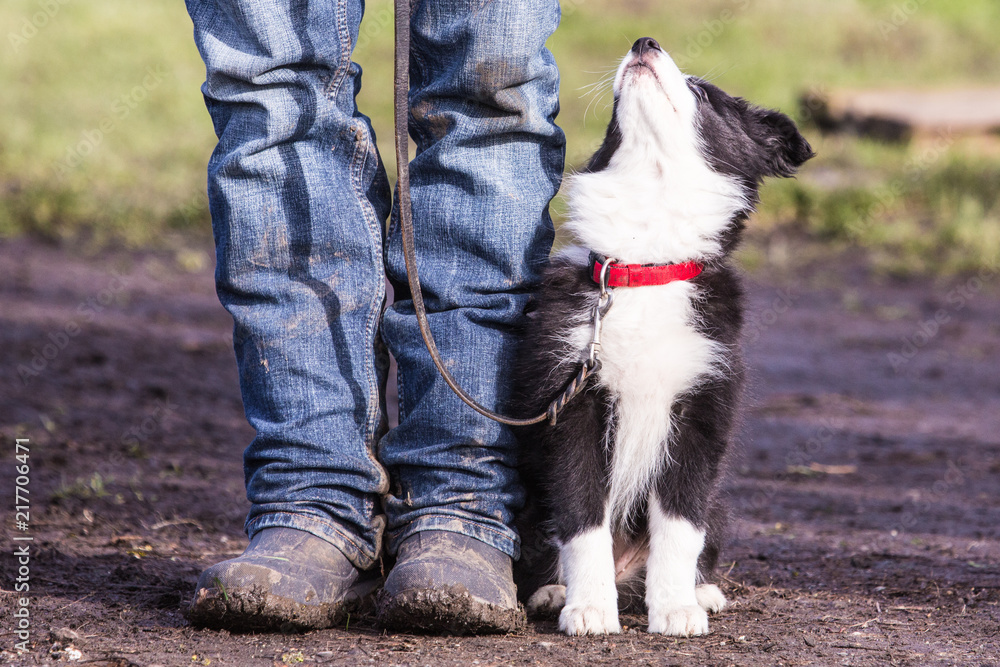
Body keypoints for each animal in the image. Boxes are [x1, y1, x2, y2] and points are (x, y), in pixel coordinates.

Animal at [516, 37, 812, 636]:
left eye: (703, 92)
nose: (644, 42)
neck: (645, 265)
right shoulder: (574, 408)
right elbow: (582, 516)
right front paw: (589, 608)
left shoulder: (700, 408)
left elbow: (678, 525)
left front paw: (676, 608)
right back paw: (554, 593)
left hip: (719, 502)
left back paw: (702, 592)